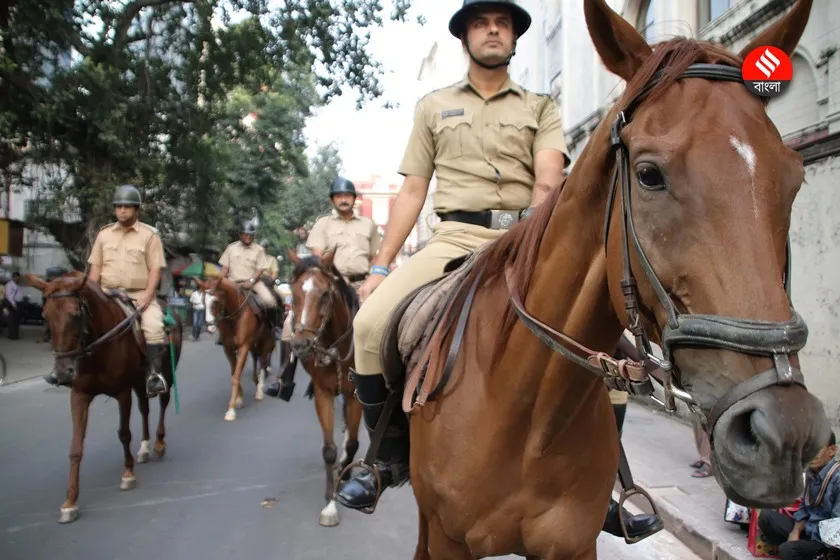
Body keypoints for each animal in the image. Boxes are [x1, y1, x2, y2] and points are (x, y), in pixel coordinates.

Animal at [26, 272, 182, 524]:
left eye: (75, 314)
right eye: (45, 315)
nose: (61, 374)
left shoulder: (122, 392)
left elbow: (124, 434)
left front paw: (128, 474)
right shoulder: (79, 395)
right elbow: (75, 447)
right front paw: (70, 502)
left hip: (166, 373)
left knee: (163, 401)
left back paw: (158, 443)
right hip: (139, 382)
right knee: (145, 408)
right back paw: (144, 448)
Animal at [199, 276, 274, 420]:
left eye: (216, 301)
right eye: (203, 300)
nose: (210, 327)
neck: (234, 316)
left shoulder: (244, 346)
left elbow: (236, 376)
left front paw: (231, 410)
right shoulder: (228, 348)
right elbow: (235, 373)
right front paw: (239, 399)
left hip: (265, 342)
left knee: (263, 362)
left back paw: (260, 389)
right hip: (254, 344)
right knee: (256, 359)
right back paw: (256, 380)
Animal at [288, 252, 362, 528]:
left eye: (325, 294)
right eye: (293, 293)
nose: (300, 344)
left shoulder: (355, 396)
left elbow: (352, 443)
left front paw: (345, 478)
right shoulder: (323, 393)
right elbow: (329, 450)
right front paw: (330, 504)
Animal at [390, 2, 832, 556]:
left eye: (793, 179)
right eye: (648, 175)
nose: (786, 431)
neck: (526, 417)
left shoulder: (573, 544)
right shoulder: (451, 543)